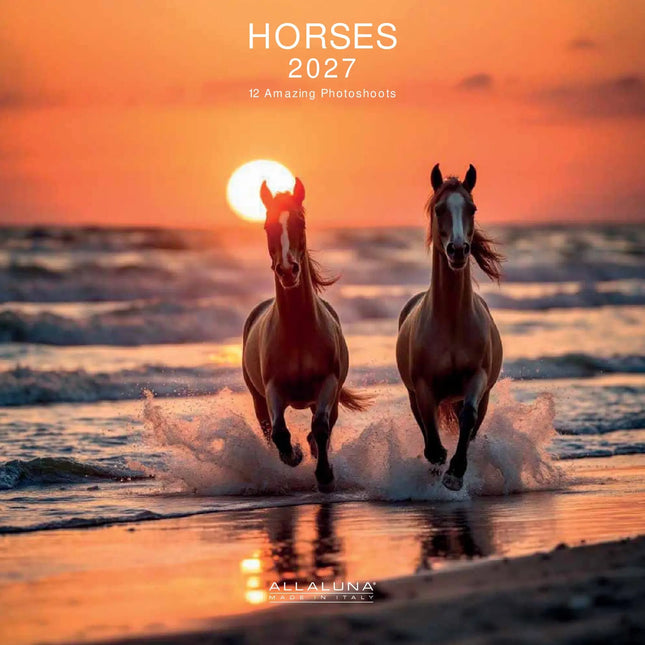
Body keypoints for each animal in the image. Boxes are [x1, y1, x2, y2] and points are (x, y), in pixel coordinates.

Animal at [242, 177, 369, 492]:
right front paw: (294, 455)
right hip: (257, 399)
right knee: (268, 431)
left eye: (300, 223)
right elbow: (279, 433)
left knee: (323, 426)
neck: (298, 331)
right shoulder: (272, 389)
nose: (288, 270)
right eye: (267, 226)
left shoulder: (327, 384)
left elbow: (321, 429)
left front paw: (325, 475)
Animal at [396, 163, 503, 491]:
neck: (452, 323)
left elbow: (468, 417)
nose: (458, 250)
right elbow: (430, 428)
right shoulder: (422, 386)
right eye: (439, 208)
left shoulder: (477, 379)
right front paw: (439, 460)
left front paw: (456, 473)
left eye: (472, 208)